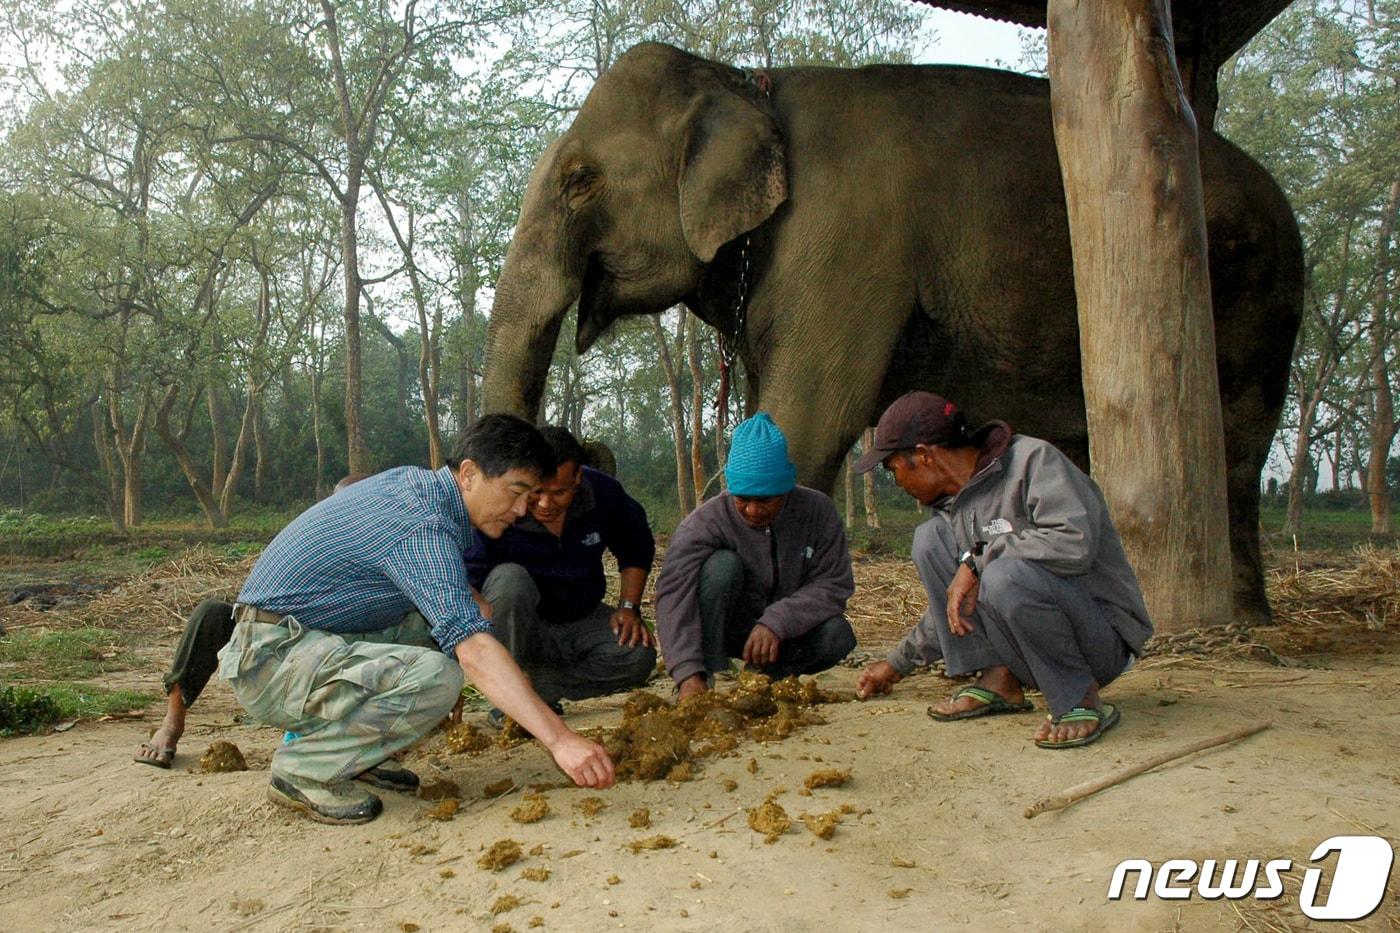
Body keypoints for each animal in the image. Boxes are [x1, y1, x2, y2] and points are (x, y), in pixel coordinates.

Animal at [487, 43, 1304, 624]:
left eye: (580, 181)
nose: (586, 449)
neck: (749, 84)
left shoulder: (844, 240)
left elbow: (808, 413)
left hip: (1257, 292)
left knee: (1235, 446)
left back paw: (1239, 620)